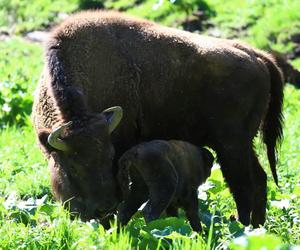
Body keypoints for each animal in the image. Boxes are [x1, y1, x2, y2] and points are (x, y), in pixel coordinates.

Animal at [32, 11, 284, 227]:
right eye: (73, 165)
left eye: (110, 156)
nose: (104, 208)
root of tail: (257, 56)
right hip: (243, 145)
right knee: (259, 179)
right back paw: (257, 226)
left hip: (231, 146)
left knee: (242, 186)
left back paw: (244, 227)